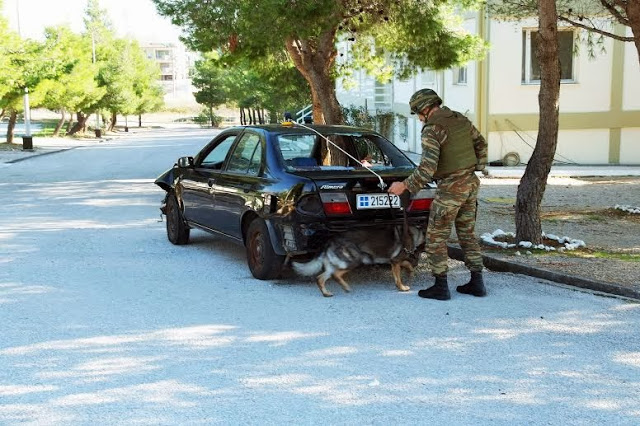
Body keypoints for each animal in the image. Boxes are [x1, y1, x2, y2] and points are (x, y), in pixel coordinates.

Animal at [294, 225, 424, 298]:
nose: (417, 264)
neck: (415, 234)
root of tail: (330, 241)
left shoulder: (393, 261)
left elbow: (406, 264)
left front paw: (410, 272)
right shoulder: (395, 261)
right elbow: (399, 277)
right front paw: (402, 288)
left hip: (334, 265)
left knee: (320, 278)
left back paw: (326, 293)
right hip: (354, 260)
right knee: (335, 275)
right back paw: (346, 287)